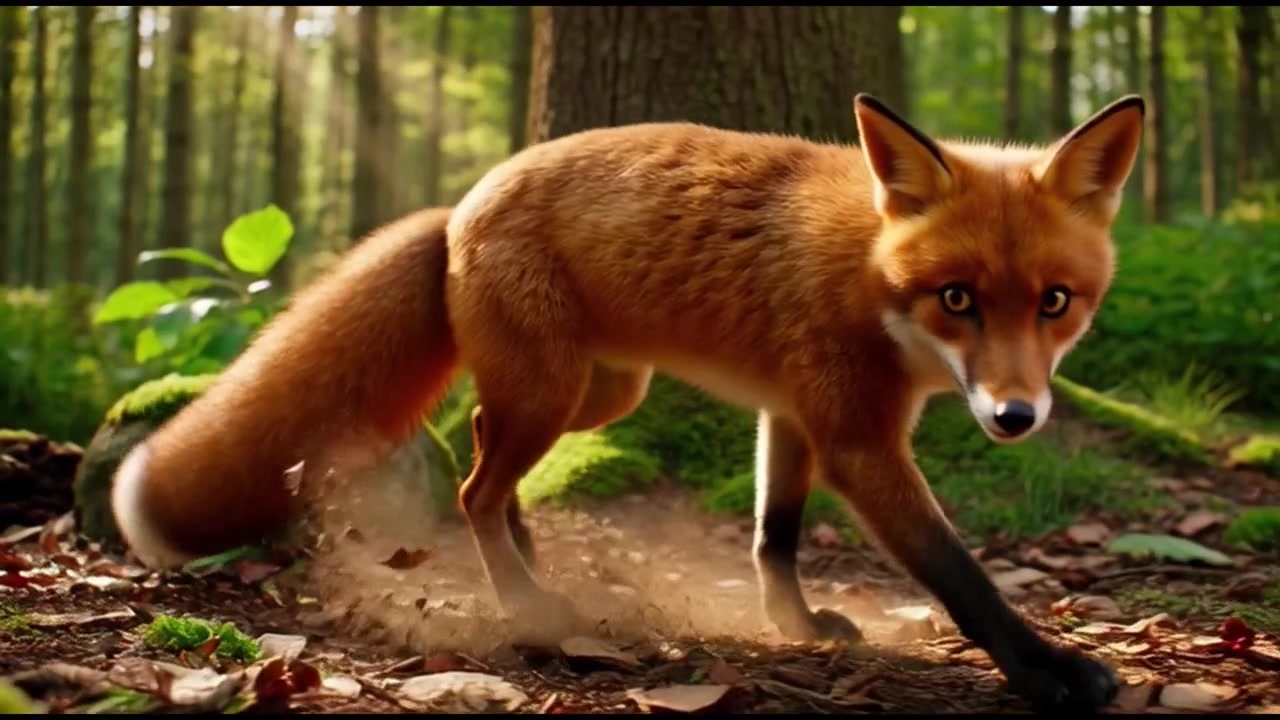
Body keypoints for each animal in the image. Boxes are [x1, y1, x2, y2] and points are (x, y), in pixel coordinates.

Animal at [111, 93, 1145, 712]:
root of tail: (459, 206)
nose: (1015, 418)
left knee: (483, 448)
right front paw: (1049, 671)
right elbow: (959, 573)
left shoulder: (792, 415)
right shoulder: (857, 436)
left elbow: (774, 534)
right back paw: (526, 602)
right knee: (473, 487)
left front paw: (796, 626)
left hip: (600, 394)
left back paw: (526, 557)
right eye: (958, 299)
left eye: (1055, 302)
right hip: (556, 391)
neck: (867, 271)